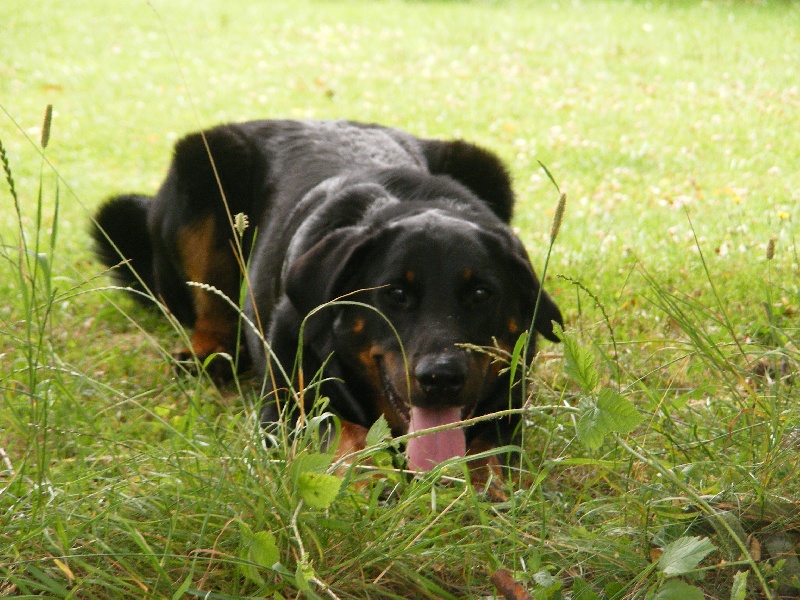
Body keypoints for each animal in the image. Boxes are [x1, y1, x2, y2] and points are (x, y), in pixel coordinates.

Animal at [95, 120, 564, 492]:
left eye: (481, 294)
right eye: (395, 294)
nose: (442, 377)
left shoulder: (509, 396)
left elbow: (487, 441)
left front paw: (484, 481)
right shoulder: (284, 404)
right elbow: (339, 428)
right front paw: (367, 474)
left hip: (483, 164)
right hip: (202, 166)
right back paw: (208, 357)